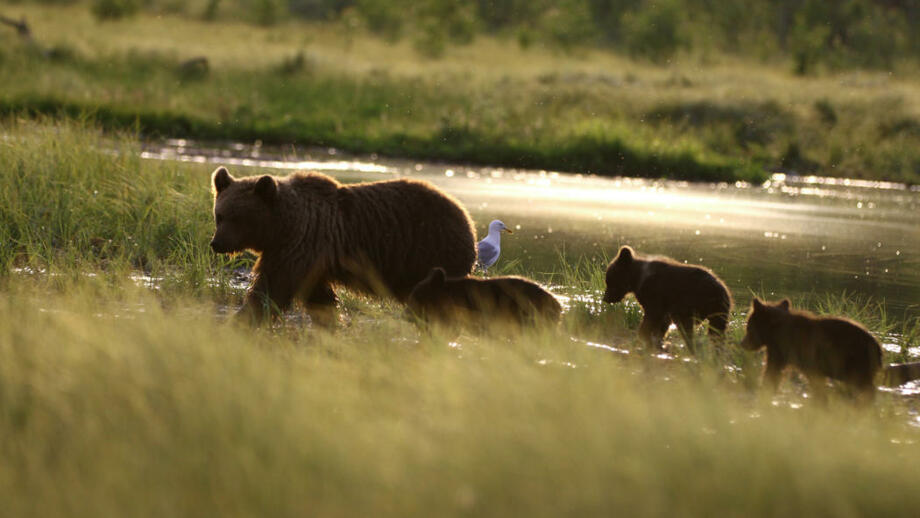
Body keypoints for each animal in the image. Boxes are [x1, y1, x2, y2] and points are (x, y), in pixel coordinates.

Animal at [209, 168, 478, 324]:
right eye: (219, 216)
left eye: (238, 218)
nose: (216, 243)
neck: (283, 226)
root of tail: (468, 219)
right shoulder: (309, 259)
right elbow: (319, 297)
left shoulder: (300, 247)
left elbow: (272, 288)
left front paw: (245, 318)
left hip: (430, 252)